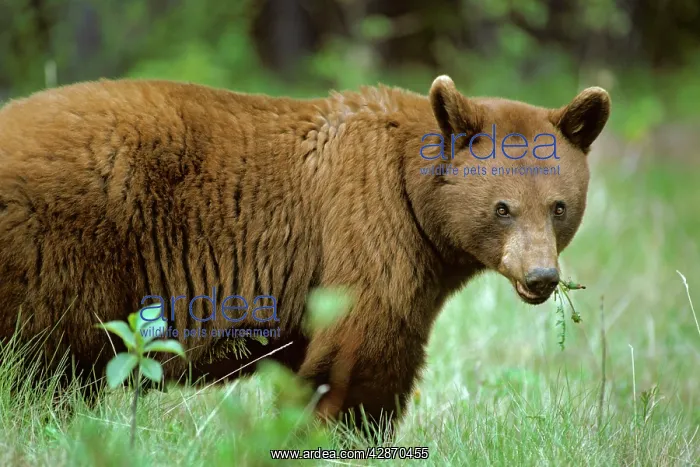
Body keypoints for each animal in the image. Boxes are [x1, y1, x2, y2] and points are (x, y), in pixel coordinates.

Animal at [0, 75, 610, 434]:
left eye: (558, 207)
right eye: (503, 208)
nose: (541, 277)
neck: (412, 189)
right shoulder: (367, 226)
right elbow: (361, 350)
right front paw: (343, 432)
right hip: (57, 252)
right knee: (40, 365)